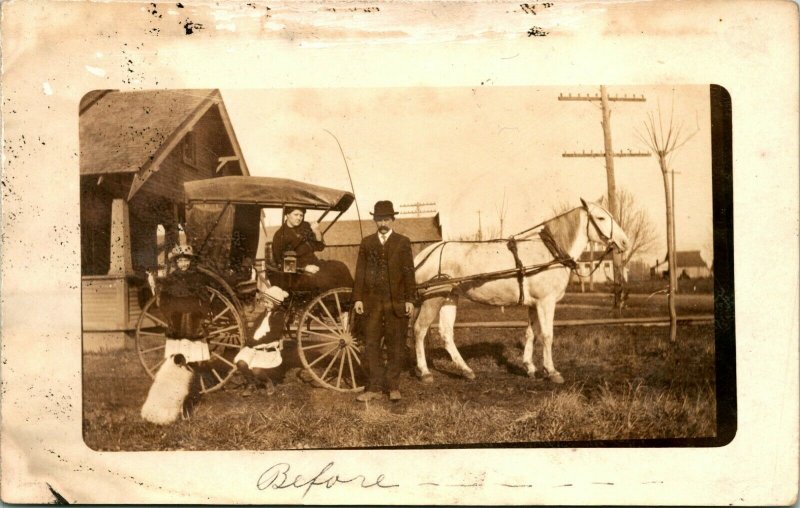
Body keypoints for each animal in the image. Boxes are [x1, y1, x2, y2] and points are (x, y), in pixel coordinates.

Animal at [412, 200, 632, 382]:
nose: (625, 242)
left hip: (449, 297)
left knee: (446, 333)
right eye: (601, 218)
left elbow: (531, 333)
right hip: (434, 299)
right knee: (420, 329)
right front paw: (551, 371)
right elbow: (547, 335)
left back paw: (466, 370)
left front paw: (529, 367)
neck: (550, 252)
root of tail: (426, 253)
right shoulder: (546, 302)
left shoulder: (534, 304)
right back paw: (424, 372)